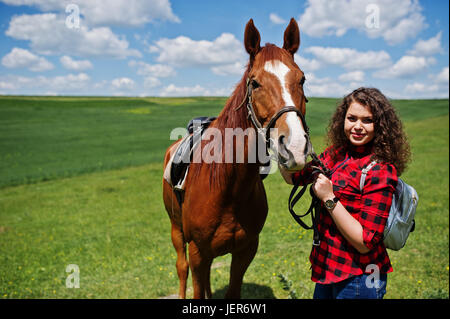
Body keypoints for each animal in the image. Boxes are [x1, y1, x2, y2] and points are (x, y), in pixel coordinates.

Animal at [163, 18, 312, 300]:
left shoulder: (246, 250)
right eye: (255, 83)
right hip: (176, 230)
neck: (228, 187)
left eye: (302, 79)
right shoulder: (198, 252)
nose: (295, 146)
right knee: (181, 267)